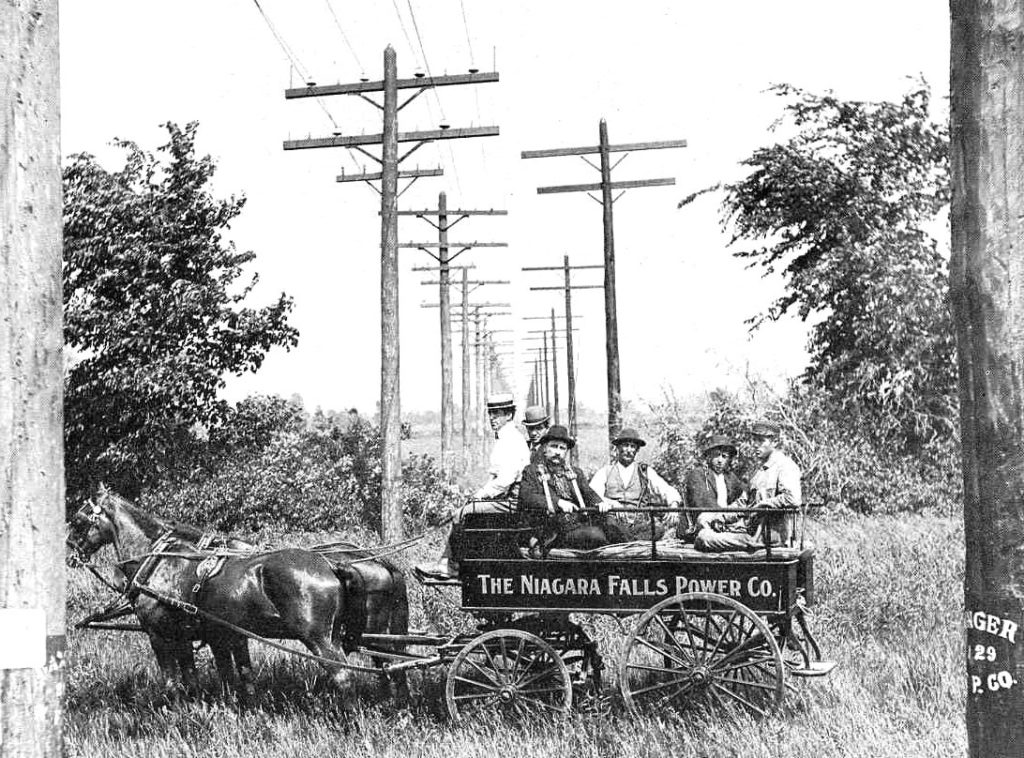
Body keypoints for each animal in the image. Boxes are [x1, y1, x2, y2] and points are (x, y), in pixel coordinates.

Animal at [65, 487, 411, 700]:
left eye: (79, 521)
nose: (70, 553)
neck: (161, 560)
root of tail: (332, 564)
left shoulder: (161, 634)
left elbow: (174, 683)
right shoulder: (221, 634)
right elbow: (229, 677)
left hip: (321, 638)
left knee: (344, 675)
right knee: (391, 667)